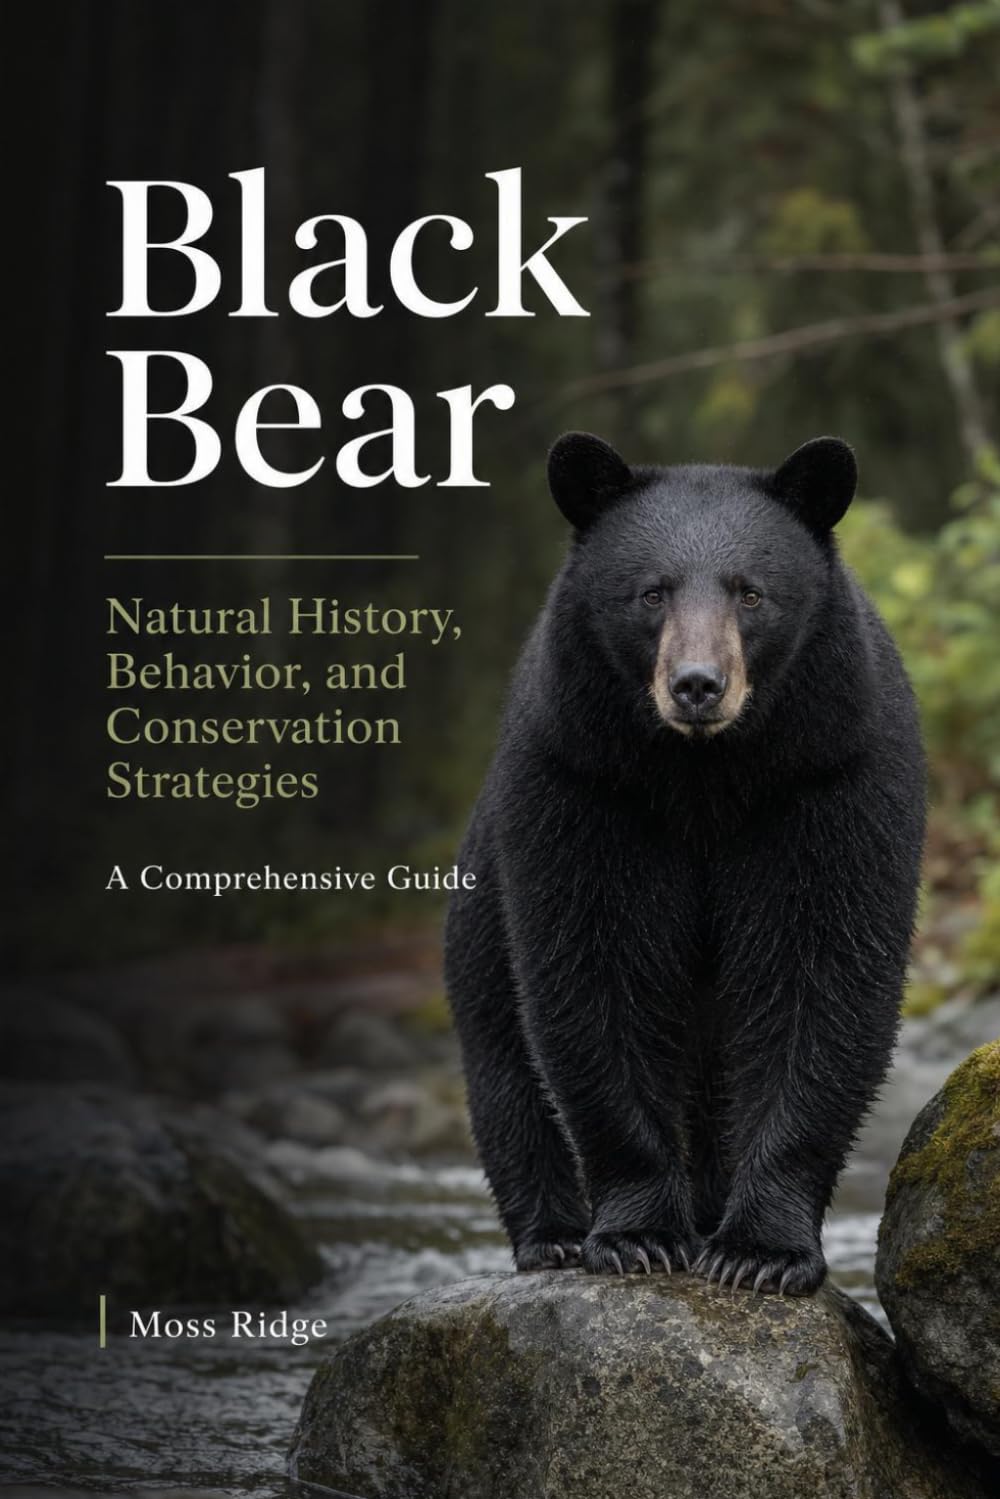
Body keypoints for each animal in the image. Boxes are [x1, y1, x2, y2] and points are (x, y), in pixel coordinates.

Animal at [444, 431, 926, 1294]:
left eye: (751, 594)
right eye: (651, 593)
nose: (697, 685)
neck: (704, 774)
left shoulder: (830, 774)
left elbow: (823, 971)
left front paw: (759, 1250)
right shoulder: (584, 782)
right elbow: (591, 973)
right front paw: (639, 1235)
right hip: (479, 914)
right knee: (503, 1060)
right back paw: (554, 1234)